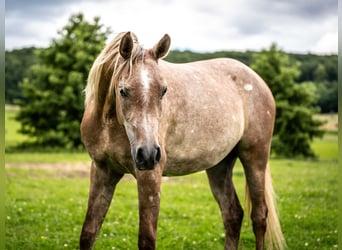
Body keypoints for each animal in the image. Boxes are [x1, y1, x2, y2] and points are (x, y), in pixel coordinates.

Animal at [81, 31, 286, 250]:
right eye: (123, 91)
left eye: (163, 90)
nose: (149, 154)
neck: (109, 124)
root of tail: (257, 80)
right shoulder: (102, 171)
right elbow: (88, 233)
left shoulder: (149, 176)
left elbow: (146, 239)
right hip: (219, 166)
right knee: (233, 214)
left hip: (255, 159)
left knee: (259, 216)